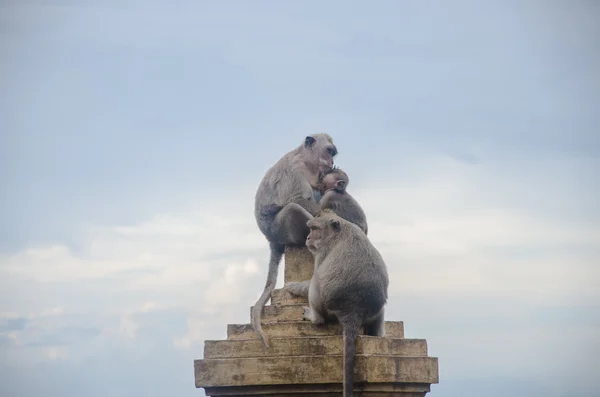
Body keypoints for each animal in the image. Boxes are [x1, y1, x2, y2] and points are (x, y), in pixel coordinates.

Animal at [252, 133, 338, 346]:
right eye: (329, 151)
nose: (332, 162)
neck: (306, 161)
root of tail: (271, 239)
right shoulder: (295, 170)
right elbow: (298, 199)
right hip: (281, 229)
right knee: (293, 208)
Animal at [284, 209, 390, 394]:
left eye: (314, 229)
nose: (308, 238)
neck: (340, 229)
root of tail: (354, 310)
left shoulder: (322, 250)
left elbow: (315, 276)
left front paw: (293, 286)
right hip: (374, 312)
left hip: (329, 306)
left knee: (317, 281)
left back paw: (314, 317)